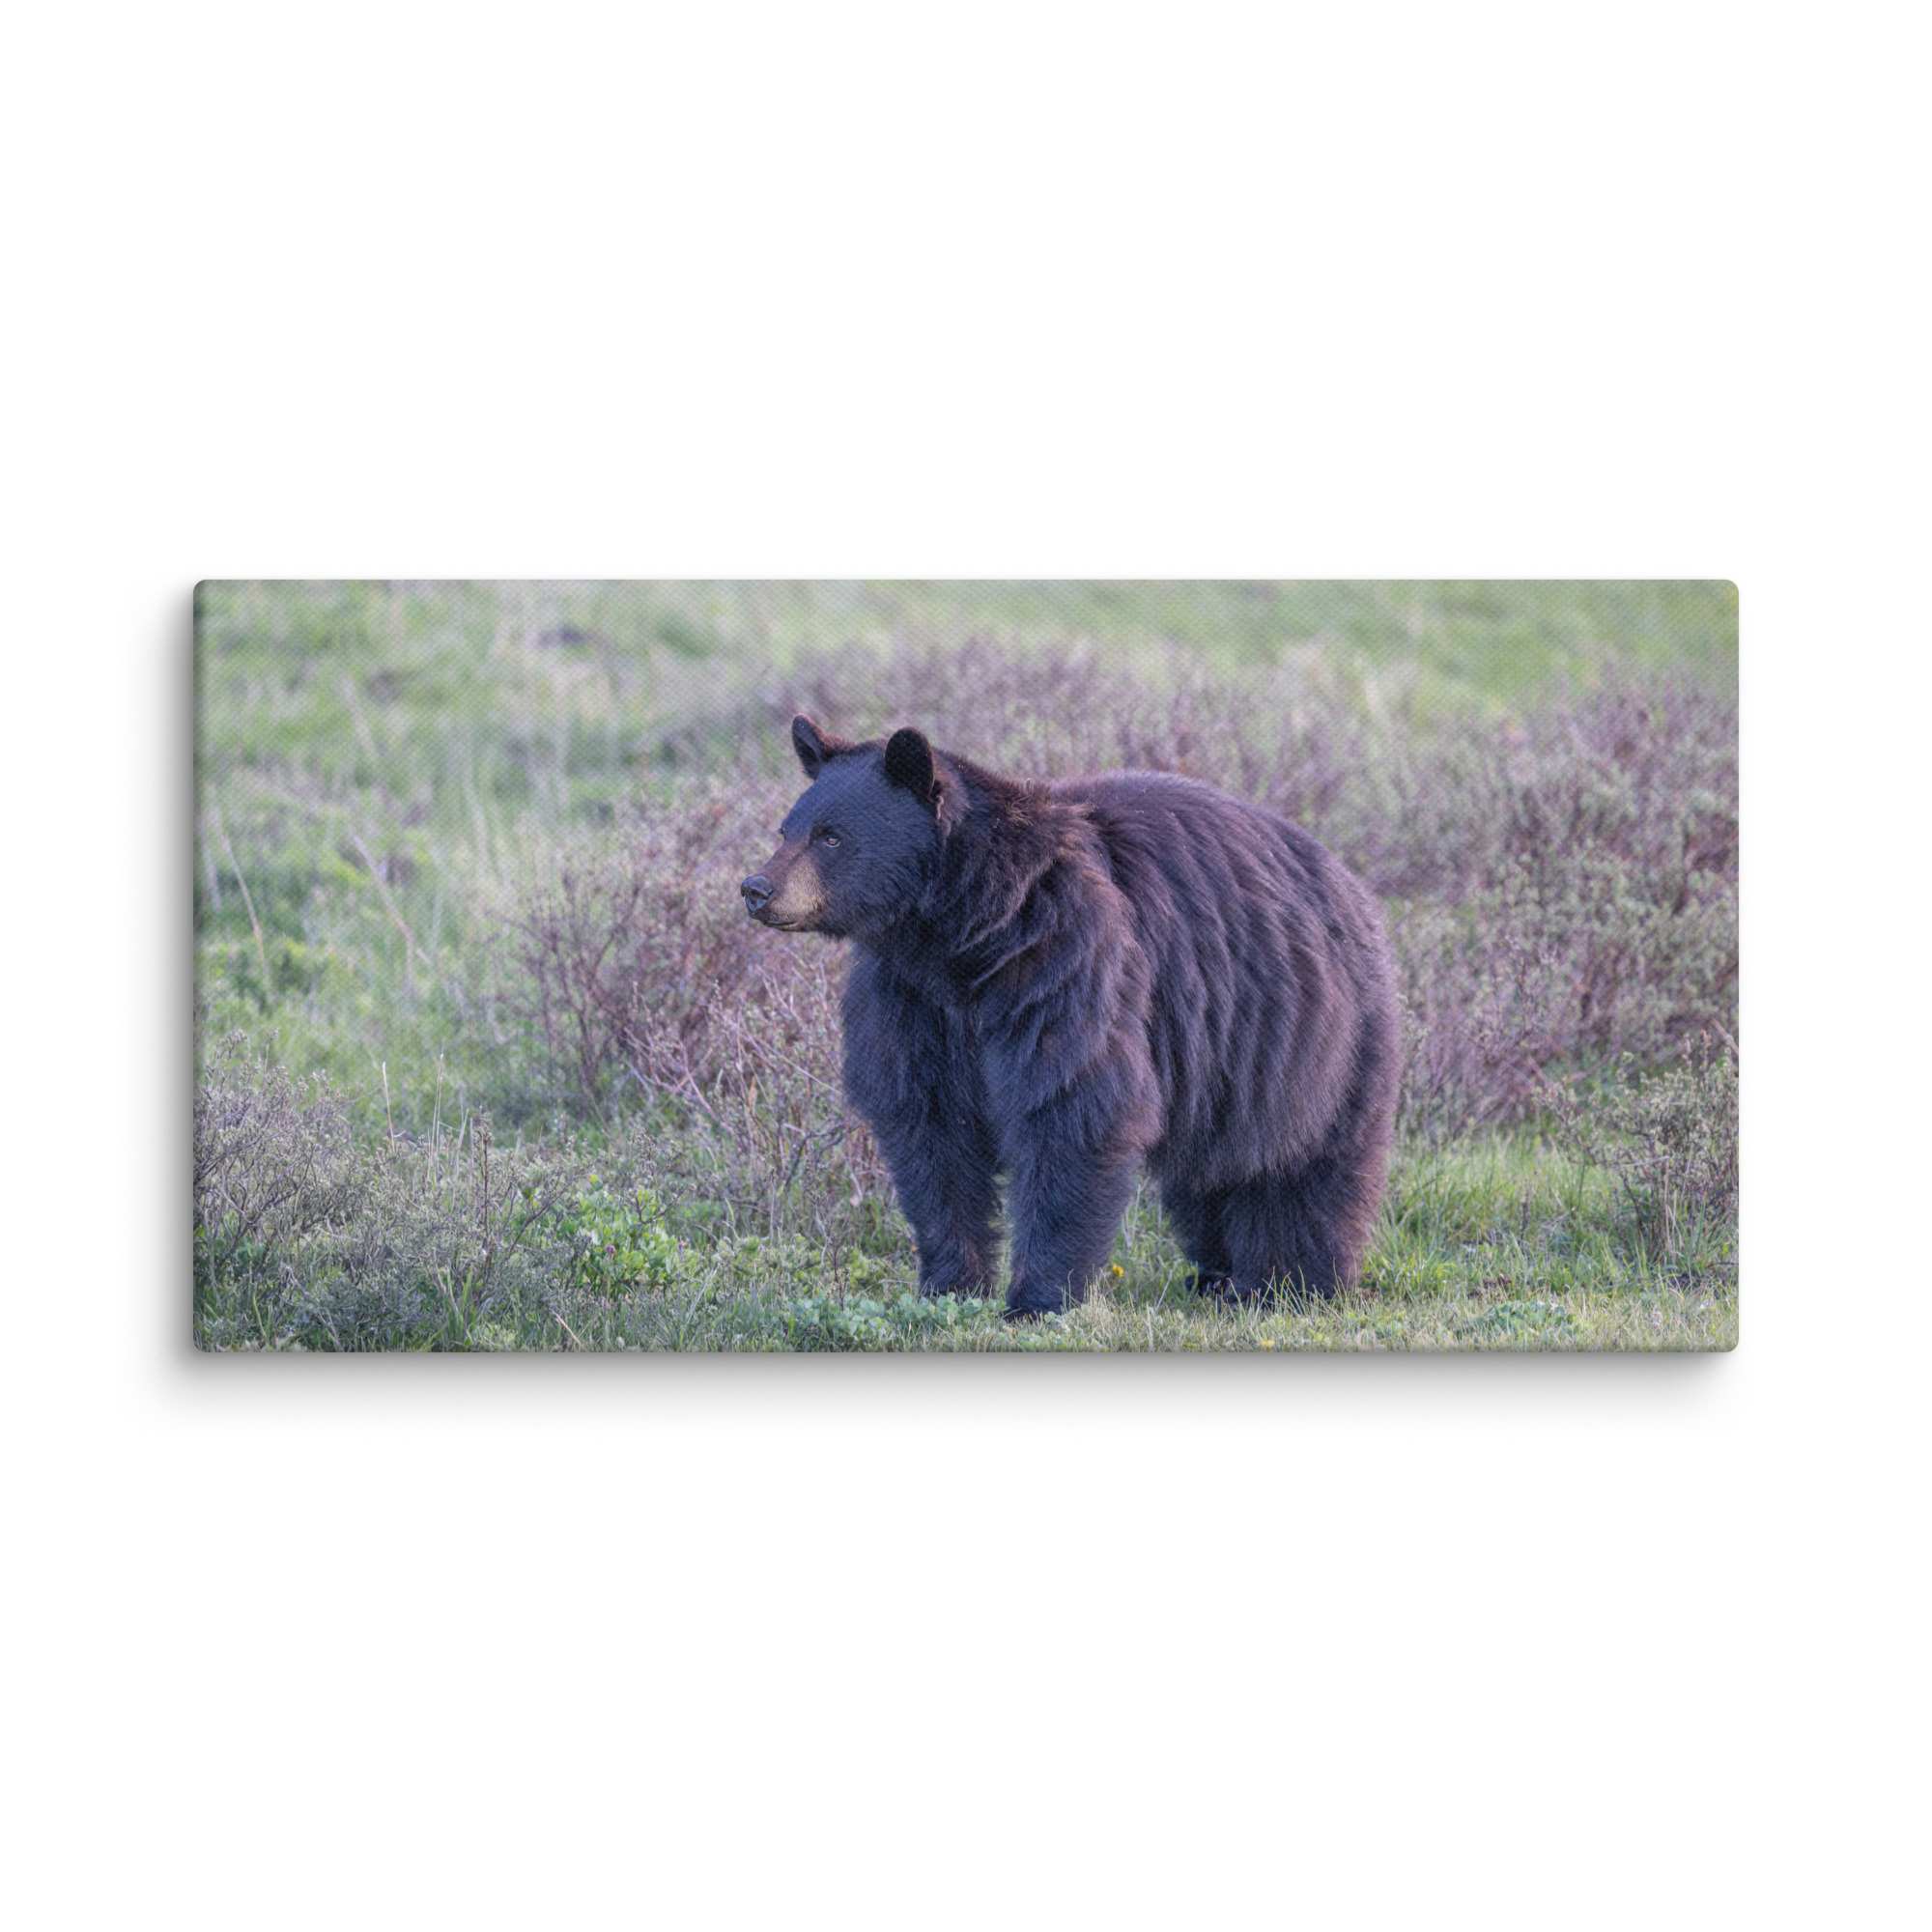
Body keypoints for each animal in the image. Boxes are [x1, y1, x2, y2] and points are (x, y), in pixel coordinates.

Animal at [740, 714, 1401, 1318]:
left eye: (831, 837)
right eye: (786, 828)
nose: (757, 888)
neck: (962, 936)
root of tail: (1349, 881)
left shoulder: (1064, 962)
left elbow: (1071, 1107)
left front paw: (1036, 1299)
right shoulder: (912, 1001)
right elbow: (929, 1128)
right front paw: (950, 1285)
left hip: (1312, 1036)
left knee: (1305, 1166)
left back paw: (1289, 1283)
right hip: (1224, 1062)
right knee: (1212, 1173)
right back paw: (1216, 1275)